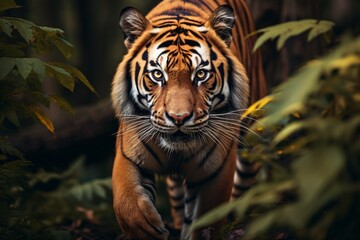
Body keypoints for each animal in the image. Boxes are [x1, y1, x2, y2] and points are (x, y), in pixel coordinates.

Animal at [111, 0, 266, 238]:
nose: (179, 118)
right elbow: (127, 204)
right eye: (157, 75)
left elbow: (206, 222)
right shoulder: (129, 157)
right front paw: (147, 228)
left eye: (201, 75)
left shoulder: (215, 173)